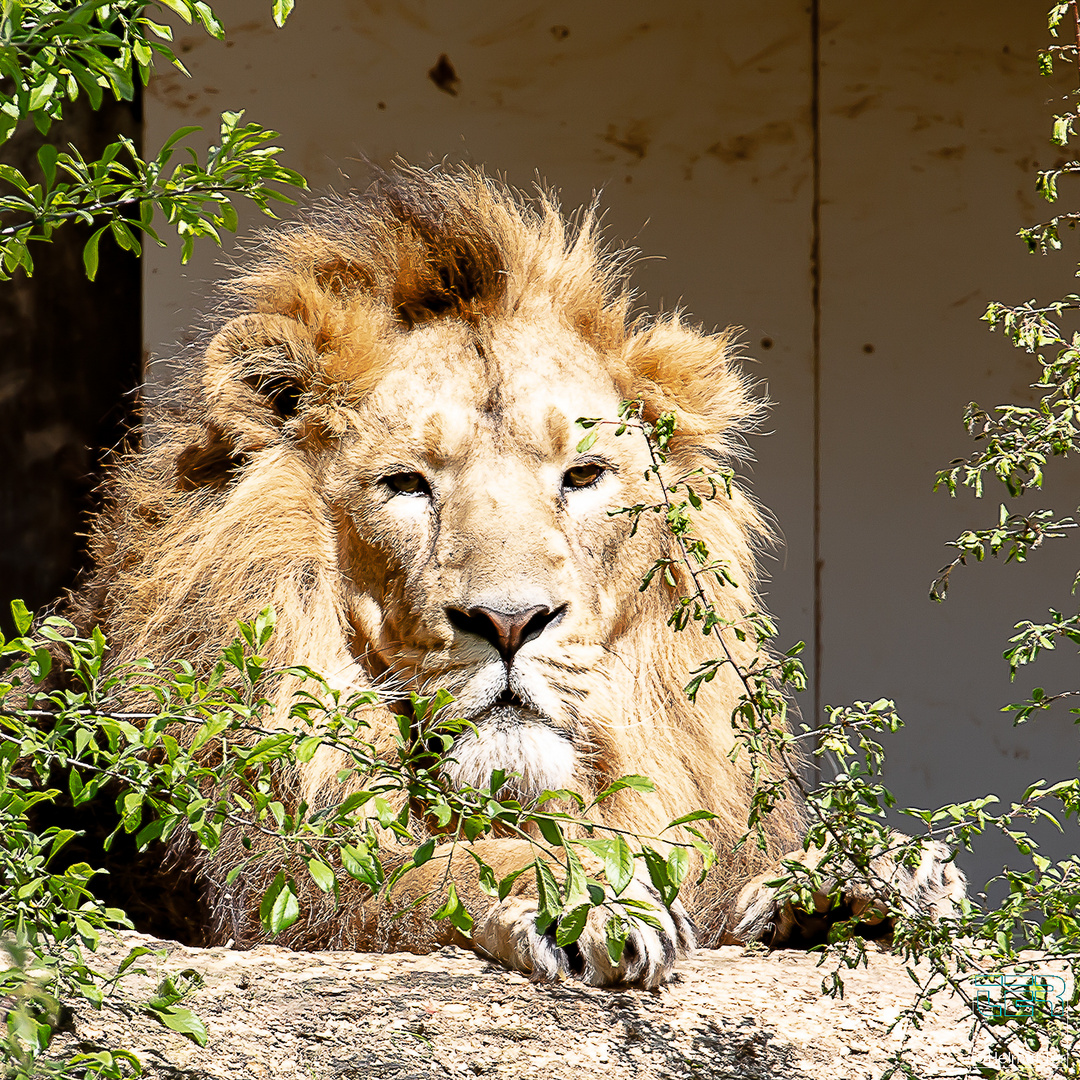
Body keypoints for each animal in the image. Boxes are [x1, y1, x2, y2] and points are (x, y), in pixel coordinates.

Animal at [63, 162, 967, 989]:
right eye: (406, 485)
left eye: (583, 476)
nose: (509, 623)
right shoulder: (260, 887)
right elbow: (428, 867)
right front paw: (587, 893)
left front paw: (869, 877)